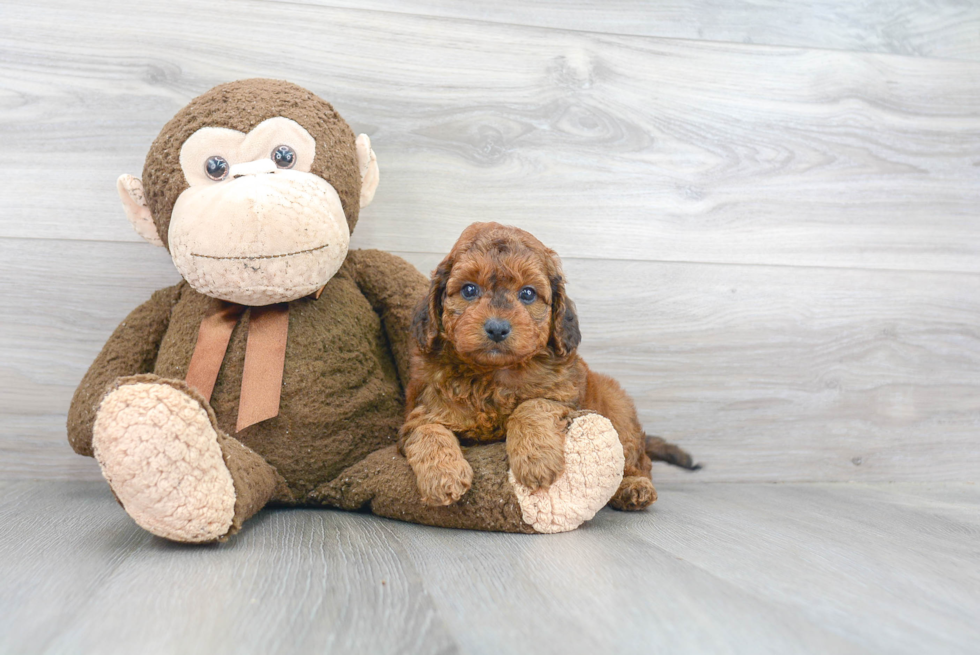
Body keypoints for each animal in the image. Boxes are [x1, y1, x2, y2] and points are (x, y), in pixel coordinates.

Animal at [400, 223, 696, 510]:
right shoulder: (421, 410)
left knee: (637, 459)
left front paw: (536, 461)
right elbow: (428, 431)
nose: (497, 328)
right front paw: (443, 476)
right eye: (469, 290)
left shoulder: (563, 398)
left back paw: (634, 487)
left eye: (528, 294)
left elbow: (531, 406)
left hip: (618, 409)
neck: (493, 373)